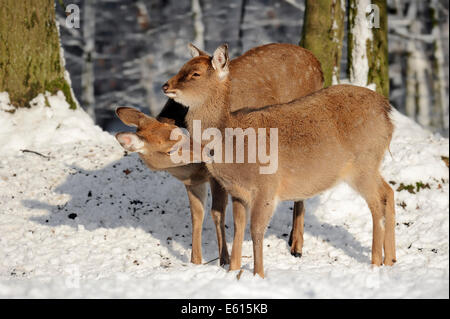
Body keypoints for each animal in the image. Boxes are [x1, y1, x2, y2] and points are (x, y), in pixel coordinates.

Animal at [116, 43, 324, 268]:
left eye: (177, 130)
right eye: (169, 148)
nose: (201, 150)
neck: (190, 170)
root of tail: (318, 64)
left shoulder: (218, 177)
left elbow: (217, 212)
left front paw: (223, 259)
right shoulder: (192, 182)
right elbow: (197, 215)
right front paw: (196, 261)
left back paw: (297, 247)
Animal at [163, 43, 396, 278]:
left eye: (195, 73)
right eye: (183, 66)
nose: (166, 85)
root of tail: (387, 112)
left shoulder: (266, 186)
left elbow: (256, 230)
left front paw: (258, 274)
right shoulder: (238, 192)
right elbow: (238, 227)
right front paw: (233, 269)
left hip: (363, 164)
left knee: (377, 202)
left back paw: (375, 261)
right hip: (370, 165)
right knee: (388, 191)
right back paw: (391, 259)